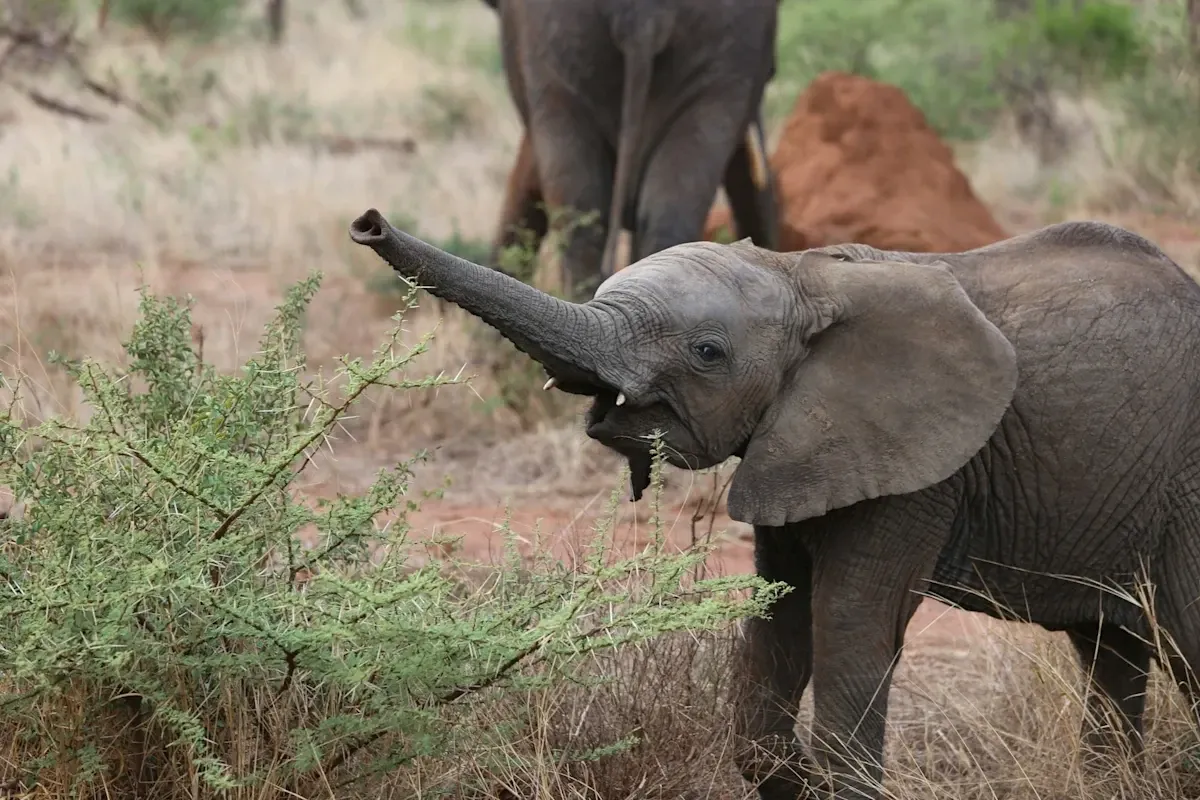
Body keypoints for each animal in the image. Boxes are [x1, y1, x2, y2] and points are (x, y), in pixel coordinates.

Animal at [350, 206, 1200, 798]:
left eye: (707, 354)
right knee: (1111, 653)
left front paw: (832, 781)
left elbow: (850, 624)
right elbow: (779, 619)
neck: (805, 276)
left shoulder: (919, 468)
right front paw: (792, 776)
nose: (367, 223)